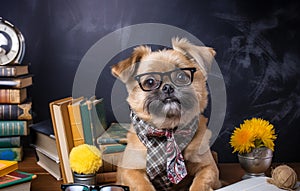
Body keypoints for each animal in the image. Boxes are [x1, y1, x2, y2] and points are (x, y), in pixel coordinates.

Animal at [111, 37, 219, 191]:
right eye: (150, 82)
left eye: (181, 76)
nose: (168, 87)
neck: (168, 132)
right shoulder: (130, 171)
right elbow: (143, 185)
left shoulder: (209, 168)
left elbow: (200, 183)